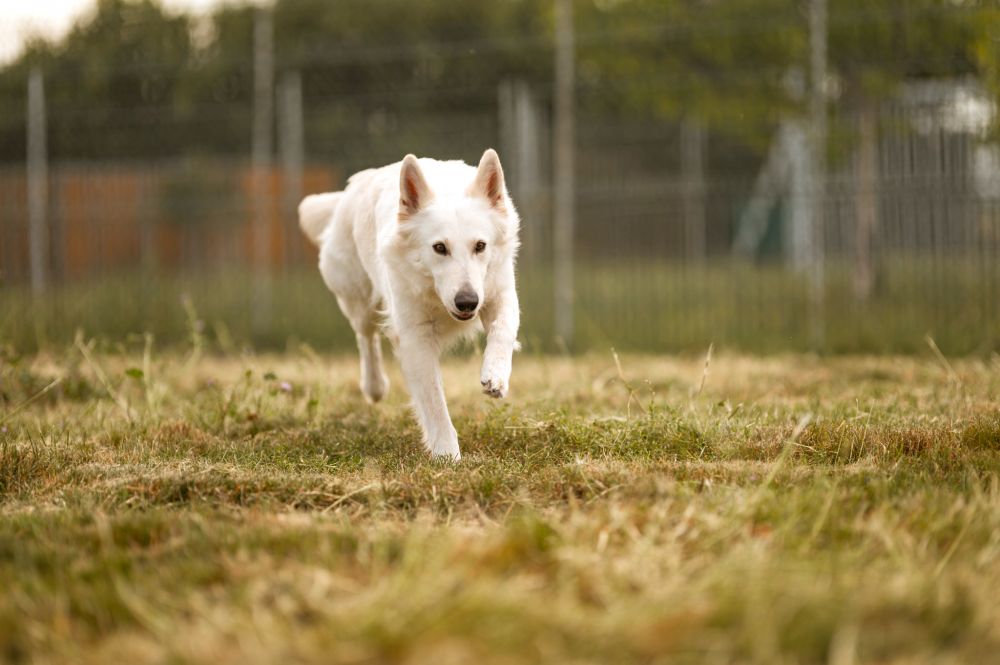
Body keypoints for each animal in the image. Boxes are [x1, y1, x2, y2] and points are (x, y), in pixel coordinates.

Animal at [296, 150, 520, 460]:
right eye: (440, 248)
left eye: (480, 246)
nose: (466, 302)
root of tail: (352, 190)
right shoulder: (415, 338)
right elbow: (434, 401)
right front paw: (447, 454)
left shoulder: (498, 293)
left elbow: (503, 330)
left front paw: (495, 375)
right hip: (359, 300)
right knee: (366, 338)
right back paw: (374, 386)